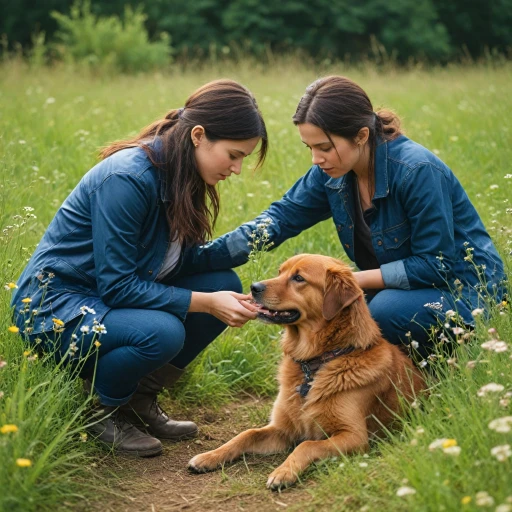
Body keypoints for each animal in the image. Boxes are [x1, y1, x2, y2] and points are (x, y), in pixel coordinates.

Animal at [187, 254, 424, 490]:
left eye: (298, 278)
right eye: (280, 271)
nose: (254, 287)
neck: (315, 362)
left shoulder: (354, 436)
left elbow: (307, 445)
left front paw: (283, 472)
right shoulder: (283, 429)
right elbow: (247, 434)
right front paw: (210, 456)